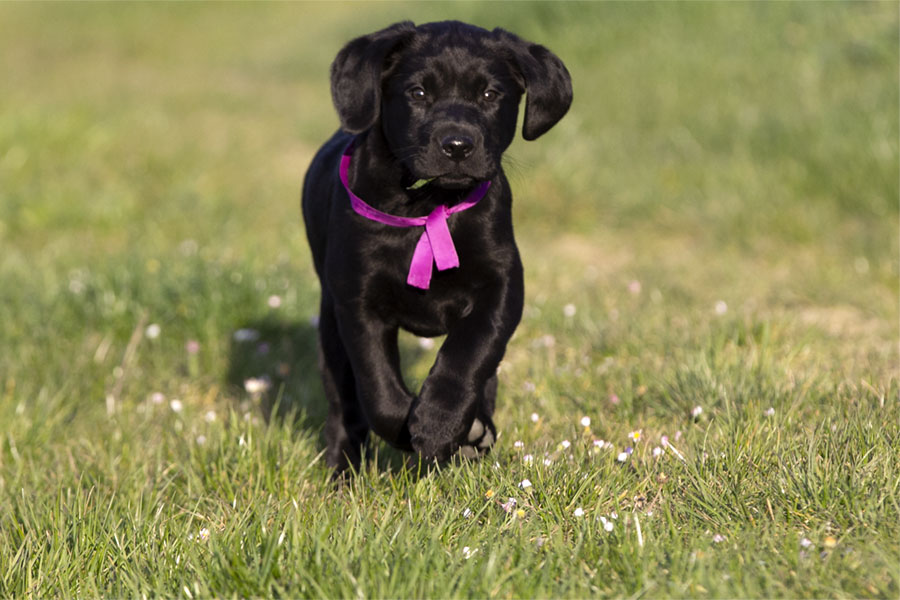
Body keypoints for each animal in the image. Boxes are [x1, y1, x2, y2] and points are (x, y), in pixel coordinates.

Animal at [302, 20, 572, 473]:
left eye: (489, 95)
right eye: (418, 93)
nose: (458, 145)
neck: (429, 205)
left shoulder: (502, 285)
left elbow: (470, 352)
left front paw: (442, 423)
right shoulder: (358, 302)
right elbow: (378, 387)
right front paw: (413, 428)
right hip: (331, 332)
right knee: (344, 408)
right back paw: (343, 472)